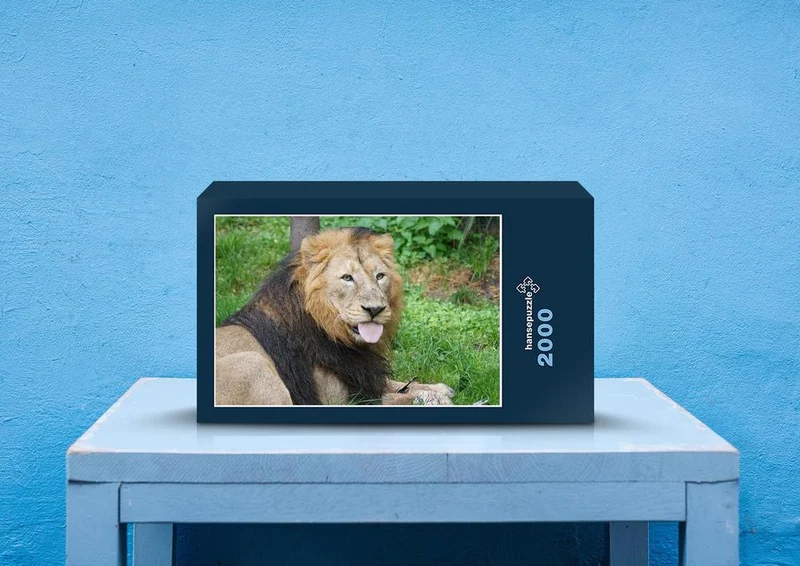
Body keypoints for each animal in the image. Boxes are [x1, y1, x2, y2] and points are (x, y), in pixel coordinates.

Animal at [215, 227, 456, 406]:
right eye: (347, 278)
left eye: (380, 276)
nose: (375, 309)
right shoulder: (339, 399)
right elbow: (394, 397)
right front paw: (432, 397)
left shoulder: (361, 375)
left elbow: (395, 383)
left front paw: (436, 388)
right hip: (251, 363)